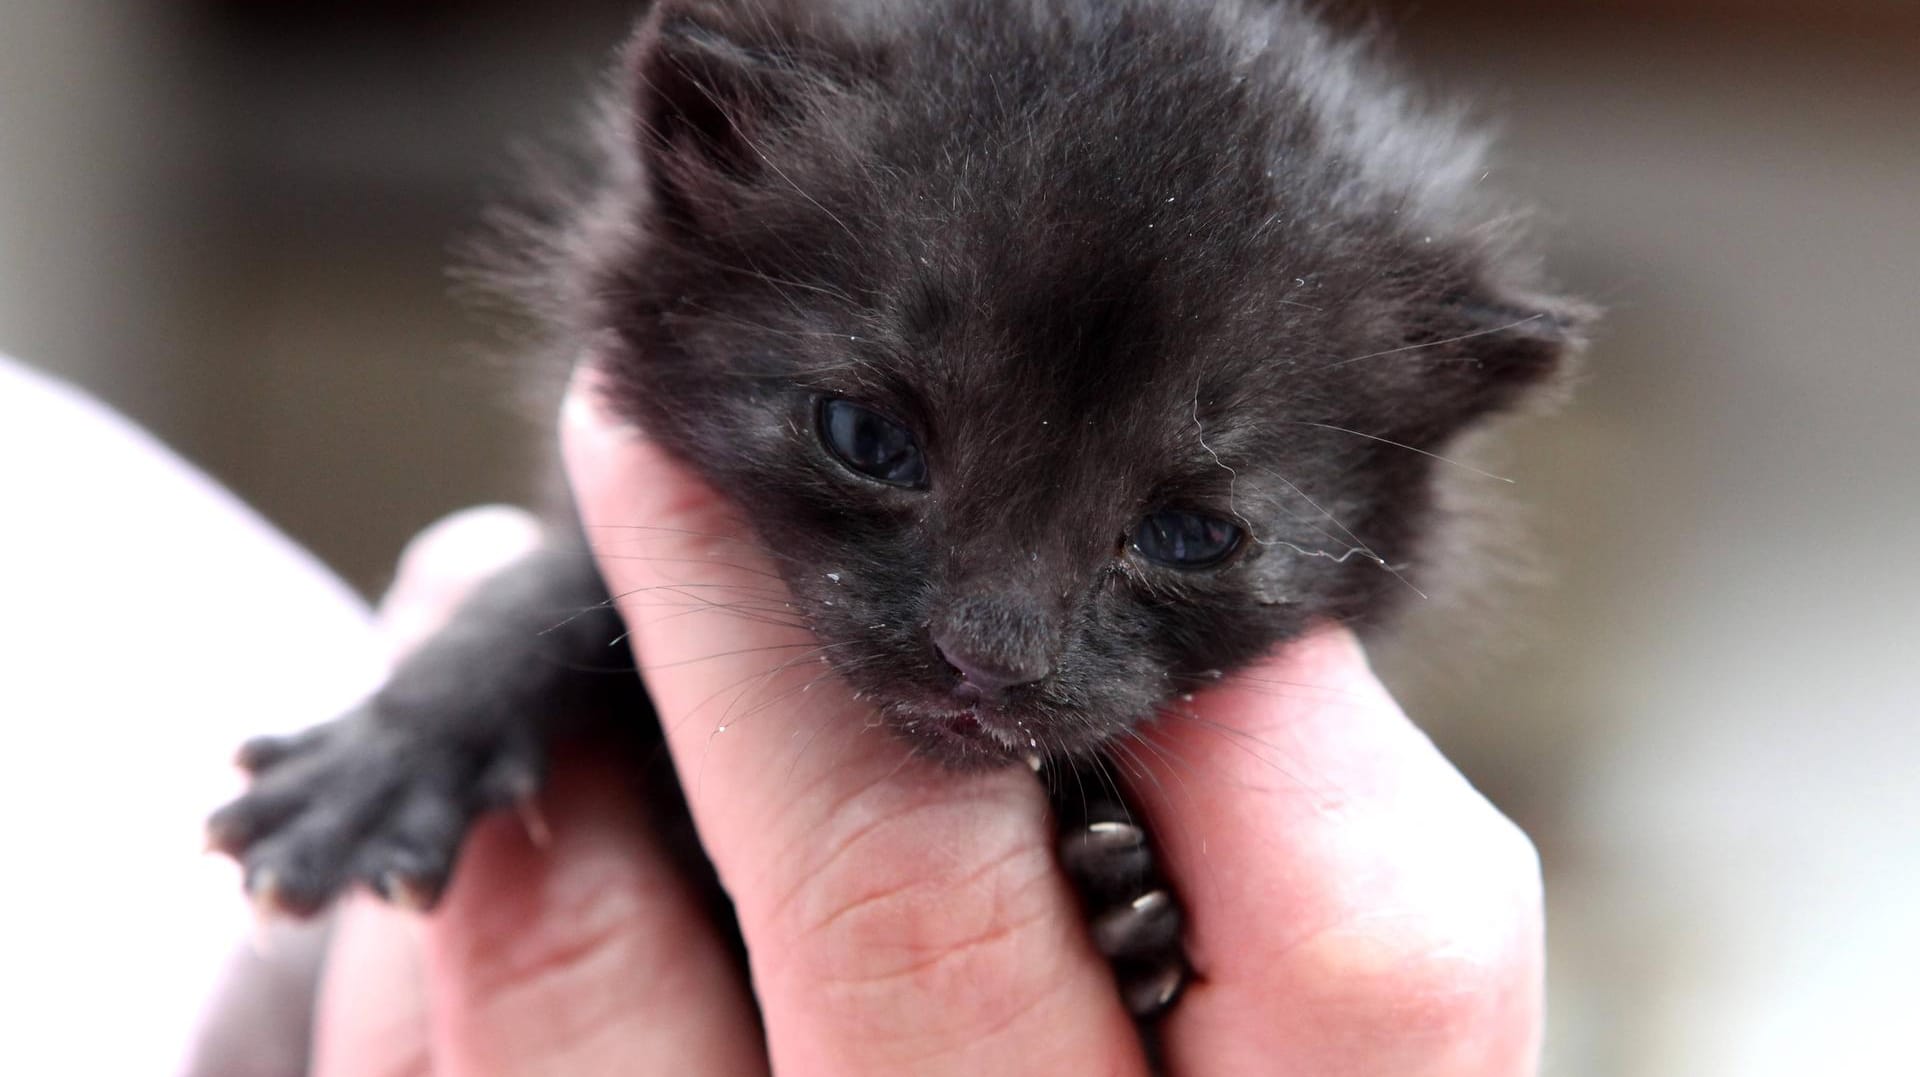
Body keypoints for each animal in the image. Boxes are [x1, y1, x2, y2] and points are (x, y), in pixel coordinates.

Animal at [206, 0, 1589, 1044]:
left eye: (1192, 535)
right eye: (867, 437)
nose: (990, 657)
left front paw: (1128, 910)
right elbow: (549, 589)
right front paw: (389, 759)